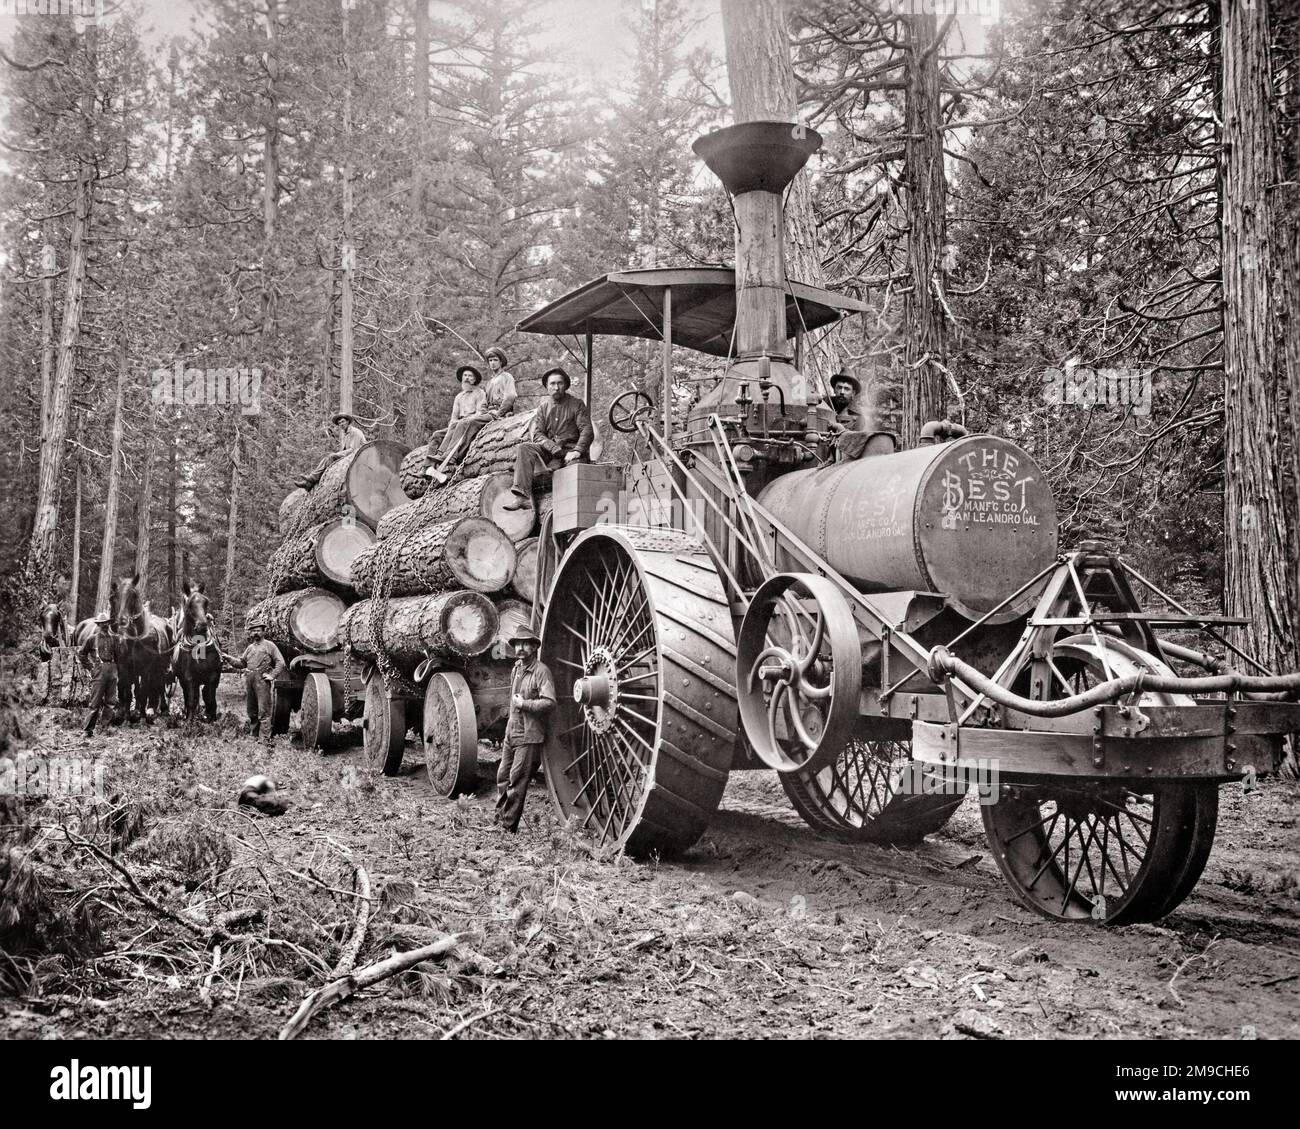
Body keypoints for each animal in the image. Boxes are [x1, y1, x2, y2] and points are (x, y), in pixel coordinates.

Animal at [115, 572, 175, 723]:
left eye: (134, 594)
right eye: (117, 595)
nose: (122, 620)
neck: (137, 637)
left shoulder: (147, 667)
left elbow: (144, 690)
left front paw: (140, 714)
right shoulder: (128, 666)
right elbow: (131, 690)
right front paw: (126, 714)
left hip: (161, 666)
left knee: (159, 685)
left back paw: (161, 709)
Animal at [172, 582, 223, 723]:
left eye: (206, 602)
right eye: (190, 603)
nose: (202, 625)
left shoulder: (213, 676)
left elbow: (210, 698)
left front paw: (211, 718)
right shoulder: (189, 677)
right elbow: (191, 699)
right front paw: (189, 720)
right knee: (188, 696)